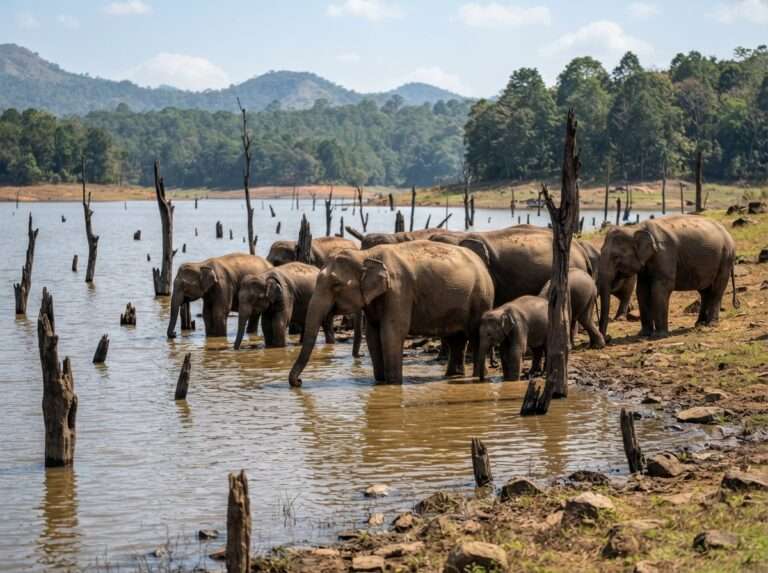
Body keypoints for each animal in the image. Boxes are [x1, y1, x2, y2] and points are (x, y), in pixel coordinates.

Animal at [288, 240, 495, 387]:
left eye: (336, 285)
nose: (299, 382)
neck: (366, 255)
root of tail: (484, 266)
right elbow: (372, 335)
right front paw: (379, 382)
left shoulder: (399, 290)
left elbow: (392, 333)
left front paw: (393, 383)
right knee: (456, 338)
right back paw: (454, 375)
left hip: (481, 297)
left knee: (474, 335)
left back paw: (478, 377)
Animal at [598, 215, 738, 339]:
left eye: (616, 257)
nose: (607, 337)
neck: (636, 228)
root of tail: (727, 233)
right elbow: (642, 290)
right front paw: (643, 334)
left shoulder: (665, 254)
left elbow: (660, 289)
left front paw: (658, 336)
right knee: (705, 291)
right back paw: (699, 324)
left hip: (725, 258)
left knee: (716, 290)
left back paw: (711, 324)